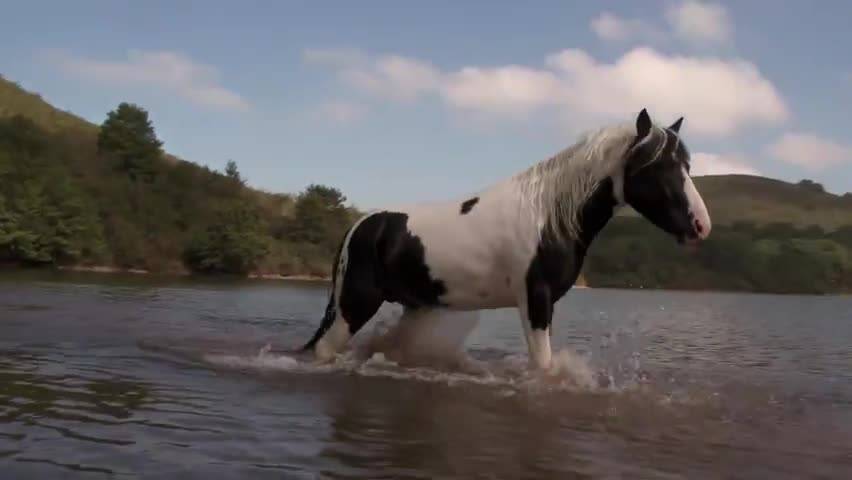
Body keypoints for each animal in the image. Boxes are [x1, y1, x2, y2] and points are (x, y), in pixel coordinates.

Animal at [300, 108, 711, 370]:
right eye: (658, 166)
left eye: (687, 166)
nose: (701, 225)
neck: (548, 217)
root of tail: (360, 226)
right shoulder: (534, 300)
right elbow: (542, 367)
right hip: (355, 304)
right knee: (323, 349)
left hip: (411, 306)